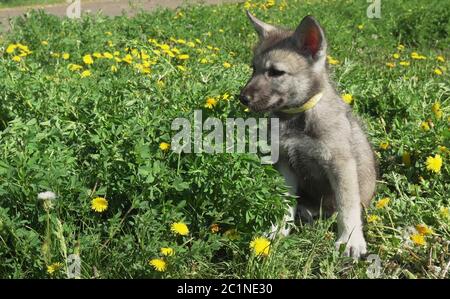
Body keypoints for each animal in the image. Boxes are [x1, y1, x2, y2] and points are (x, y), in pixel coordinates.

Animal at [241, 12, 378, 258]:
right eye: (253, 68)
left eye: (276, 72)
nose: (242, 98)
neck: (297, 117)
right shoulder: (285, 164)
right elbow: (285, 201)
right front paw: (279, 229)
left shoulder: (340, 165)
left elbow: (347, 205)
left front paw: (351, 239)